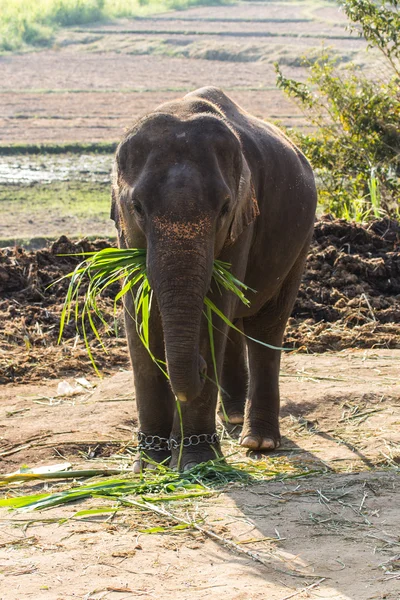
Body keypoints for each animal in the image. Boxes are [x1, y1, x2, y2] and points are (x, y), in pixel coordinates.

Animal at [111, 85, 318, 468]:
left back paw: (258, 441)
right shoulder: (124, 234)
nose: (203, 366)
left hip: (301, 240)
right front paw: (150, 464)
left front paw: (197, 461)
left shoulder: (243, 220)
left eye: (223, 209)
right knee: (234, 323)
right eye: (137, 208)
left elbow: (213, 307)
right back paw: (232, 417)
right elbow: (138, 315)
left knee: (265, 327)